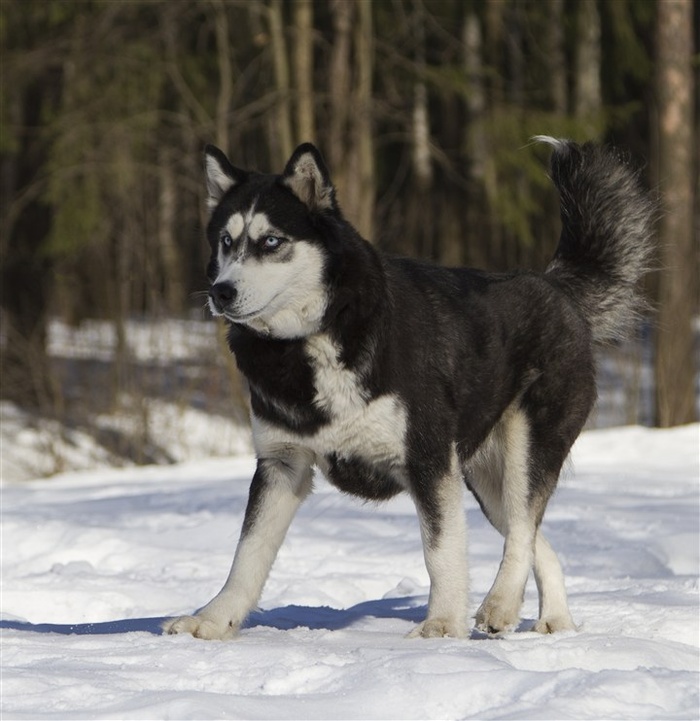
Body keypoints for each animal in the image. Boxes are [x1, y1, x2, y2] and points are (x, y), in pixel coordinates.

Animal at [161, 138, 652, 640]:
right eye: (226, 241)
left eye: (271, 242)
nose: (220, 292)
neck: (314, 341)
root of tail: (555, 286)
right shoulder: (282, 463)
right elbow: (246, 555)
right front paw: (213, 619)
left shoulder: (429, 460)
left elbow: (441, 551)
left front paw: (443, 624)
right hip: (483, 478)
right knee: (536, 538)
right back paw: (553, 618)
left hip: (526, 448)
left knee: (520, 529)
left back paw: (499, 605)